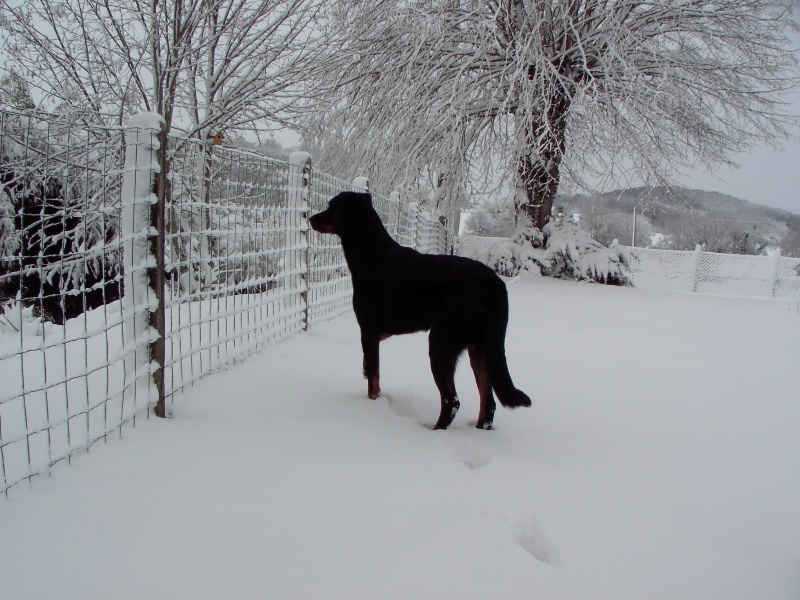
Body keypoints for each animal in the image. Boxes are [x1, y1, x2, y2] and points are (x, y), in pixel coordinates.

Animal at [310, 190, 532, 428]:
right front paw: (365, 369)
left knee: (451, 401)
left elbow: (374, 380)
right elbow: (371, 363)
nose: (311, 218)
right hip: (480, 347)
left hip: (441, 343)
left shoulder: (368, 326)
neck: (371, 253)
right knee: (488, 403)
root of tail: (495, 284)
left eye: (332, 206)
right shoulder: (387, 327)